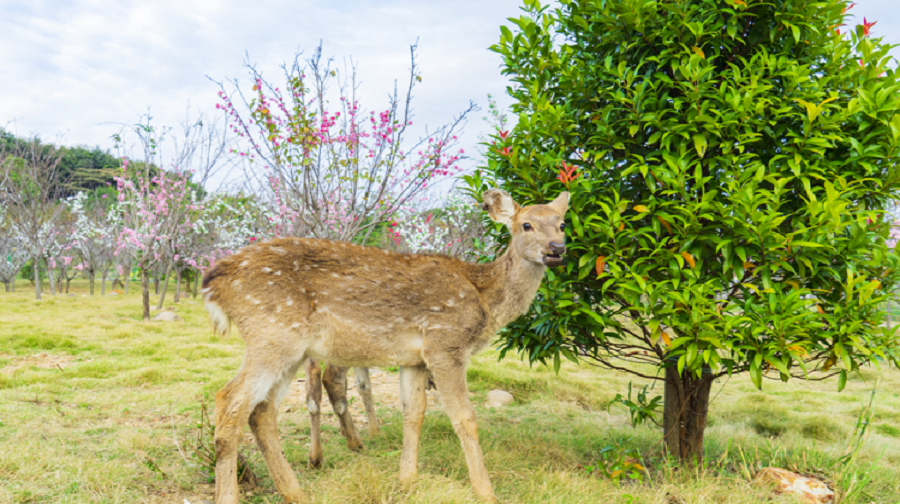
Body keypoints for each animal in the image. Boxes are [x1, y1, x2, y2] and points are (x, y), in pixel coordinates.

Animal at [205, 189, 568, 504]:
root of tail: (214, 282)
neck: (484, 298)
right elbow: (464, 417)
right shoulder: (445, 343)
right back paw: (233, 495)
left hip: (290, 347)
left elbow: (414, 413)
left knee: (262, 411)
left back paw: (296, 493)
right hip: (273, 333)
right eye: (526, 224)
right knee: (229, 400)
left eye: (563, 223)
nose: (557, 248)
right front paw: (486, 492)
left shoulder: (414, 359)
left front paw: (407, 481)